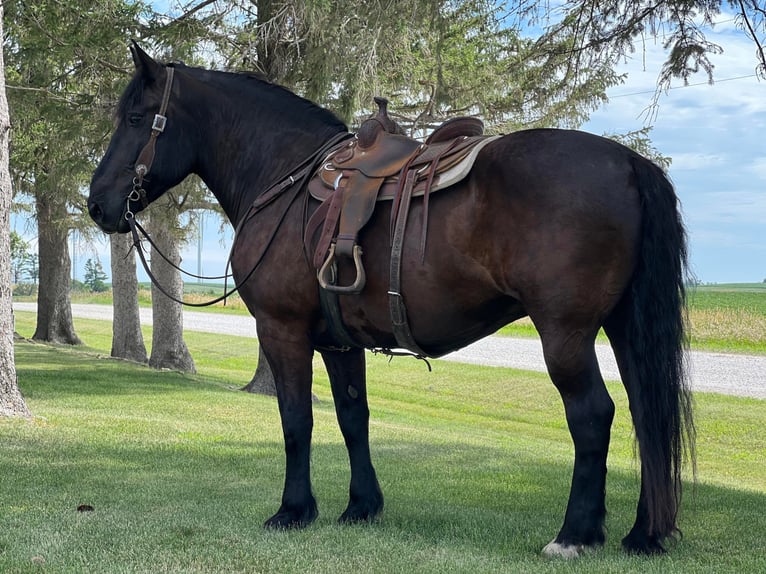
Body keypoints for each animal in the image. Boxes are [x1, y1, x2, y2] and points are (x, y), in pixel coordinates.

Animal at [88, 45, 696, 560]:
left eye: (136, 118)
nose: (96, 203)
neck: (284, 177)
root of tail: (628, 163)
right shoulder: (338, 342)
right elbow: (352, 417)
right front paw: (361, 506)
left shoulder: (283, 330)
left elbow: (296, 419)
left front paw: (293, 510)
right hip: (623, 328)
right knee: (646, 415)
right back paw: (643, 534)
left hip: (565, 333)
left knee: (593, 415)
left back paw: (574, 534)